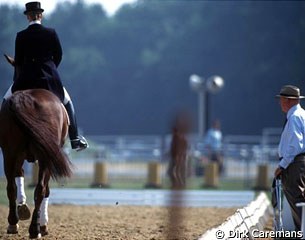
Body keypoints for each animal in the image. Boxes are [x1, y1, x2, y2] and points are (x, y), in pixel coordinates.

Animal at [0, 88, 71, 238]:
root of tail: (26, 98)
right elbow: (46, 190)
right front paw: (43, 224)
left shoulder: (18, 156)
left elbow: (19, 176)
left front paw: (22, 207)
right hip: (44, 158)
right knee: (41, 189)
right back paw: (35, 228)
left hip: (9, 153)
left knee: (11, 187)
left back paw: (14, 223)